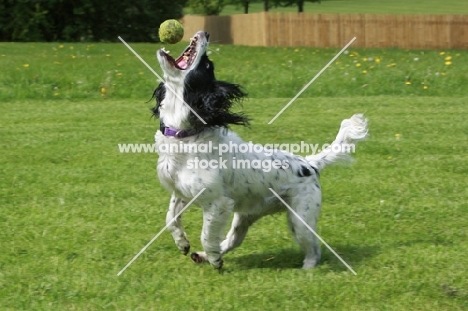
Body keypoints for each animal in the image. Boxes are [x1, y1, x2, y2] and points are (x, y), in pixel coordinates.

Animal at [152, 31, 368, 270]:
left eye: (207, 65)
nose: (205, 33)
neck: (185, 136)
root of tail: (310, 164)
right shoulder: (181, 193)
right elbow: (170, 218)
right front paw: (183, 243)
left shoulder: (217, 204)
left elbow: (207, 235)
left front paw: (215, 260)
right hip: (245, 216)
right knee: (233, 240)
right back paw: (202, 255)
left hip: (300, 219)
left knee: (314, 248)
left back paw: (307, 268)